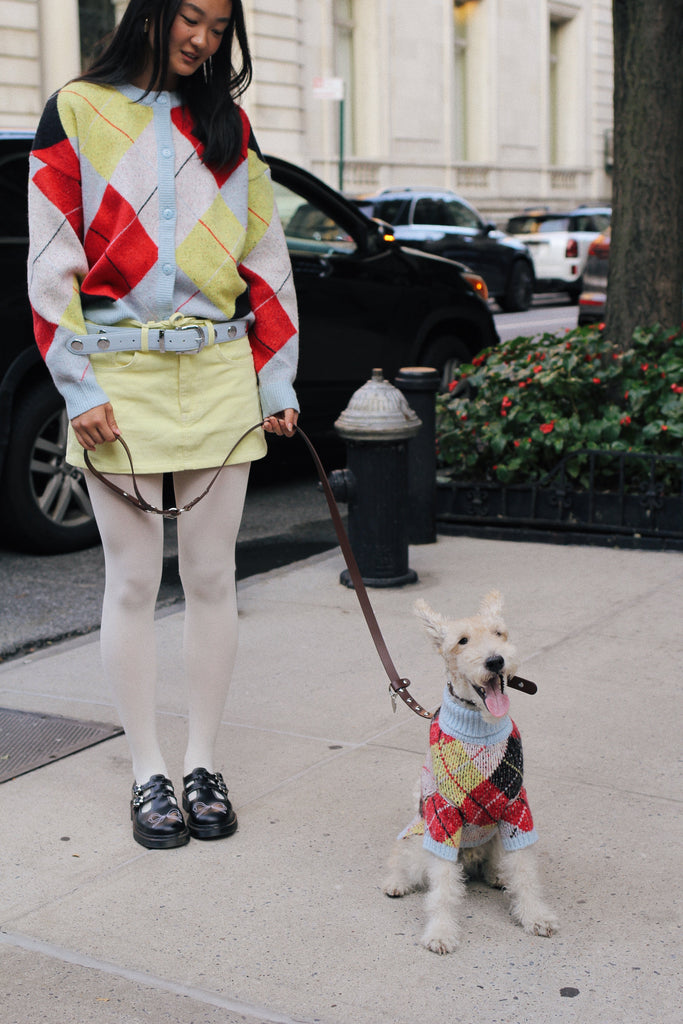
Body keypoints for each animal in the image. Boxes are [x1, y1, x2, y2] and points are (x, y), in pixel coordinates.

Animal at [382, 593, 557, 950]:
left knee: (496, 864)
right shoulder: (444, 817)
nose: (495, 661)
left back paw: (497, 874)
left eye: (499, 633)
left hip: (495, 836)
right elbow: (443, 888)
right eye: (462, 641)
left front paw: (535, 915)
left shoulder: (516, 809)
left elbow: (525, 871)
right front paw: (440, 932)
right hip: (418, 841)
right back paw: (396, 882)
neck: (480, 726)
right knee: (403, 860)